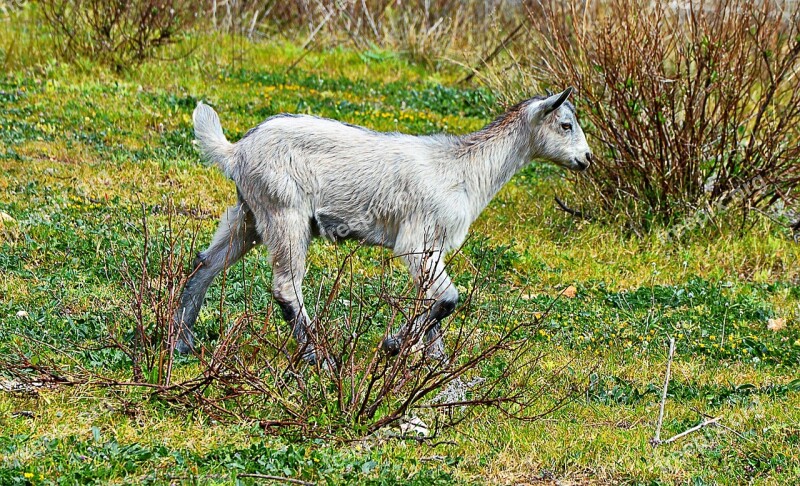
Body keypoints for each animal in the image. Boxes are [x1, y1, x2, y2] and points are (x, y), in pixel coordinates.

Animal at [172, 87, 592, 362]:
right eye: (566, 124)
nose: (587, 159)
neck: (463, 169)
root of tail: (235, 150)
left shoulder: (432, 247)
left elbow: (434, 301)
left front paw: (435, 364)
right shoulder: (416, 240)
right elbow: (448, 299)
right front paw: (394, 345)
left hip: (248, 213)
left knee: (204, 264)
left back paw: (182, 343)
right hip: (284, 212)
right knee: (285, 287)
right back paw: (317, 357)